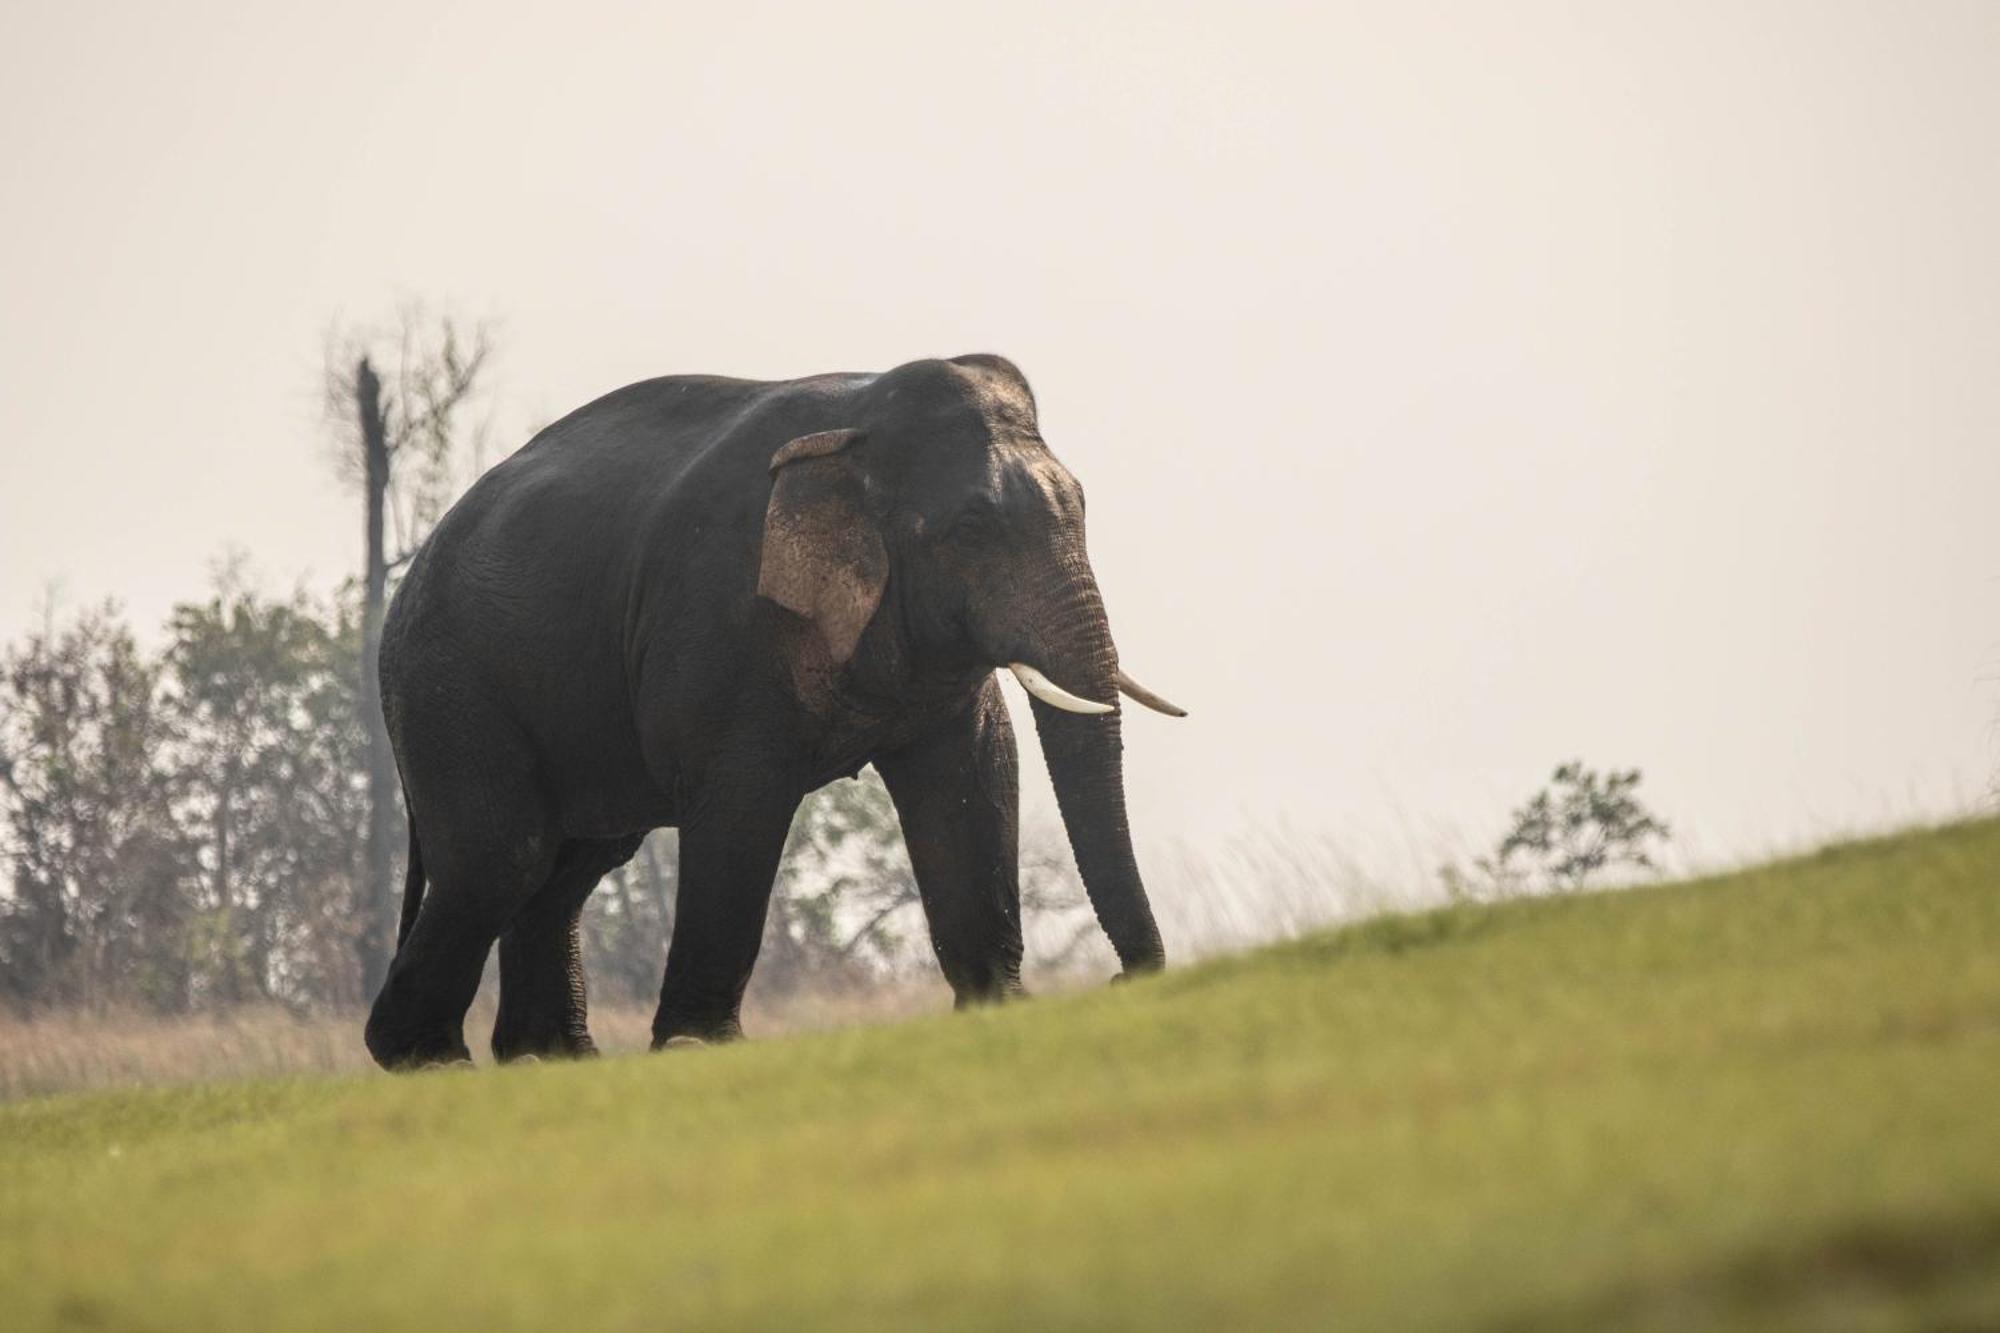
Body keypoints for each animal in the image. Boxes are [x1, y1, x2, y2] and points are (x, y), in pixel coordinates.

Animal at [360, 352, 1176, 1072]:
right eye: (971, 529)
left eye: (1080, 506)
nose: (1122, 979)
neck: (860, 426)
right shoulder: (722, 623)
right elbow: (742, 803)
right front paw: (695, 1047)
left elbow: (971, 780)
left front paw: (998, 1009)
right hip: (448, 684)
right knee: (503, 859)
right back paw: (430, 1060)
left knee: (573, 863)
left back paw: (551, 1058)